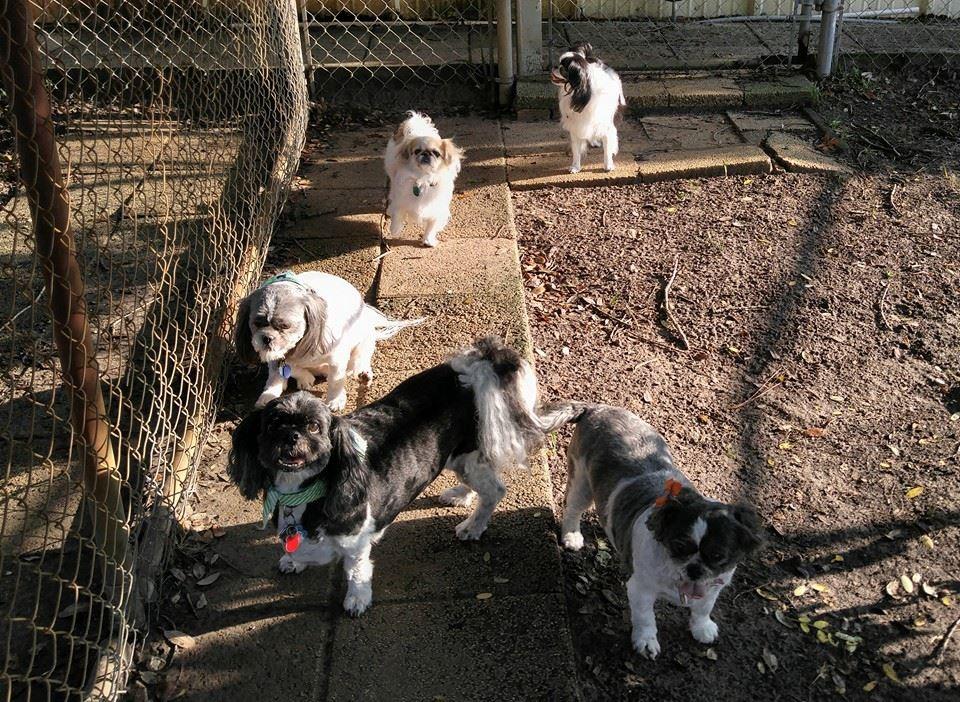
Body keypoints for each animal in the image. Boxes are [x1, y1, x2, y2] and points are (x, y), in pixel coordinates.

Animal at [227, 338, 548, 620]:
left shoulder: (356, 541)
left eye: (315, 427)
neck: (303, 492)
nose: (291, 436)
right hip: (460, 458)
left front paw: (357, 599)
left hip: (471, 456)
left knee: (494, 490)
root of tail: (471, 370)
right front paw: (293, 561)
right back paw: (460, 495)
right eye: (273, 424)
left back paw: (473, 527)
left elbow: (356, 571)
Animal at [382, 111, 464, 249]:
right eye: (417, 151)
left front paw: (428, 240)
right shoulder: (401, 200)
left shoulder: (436, 209)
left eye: (436, 153)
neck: (423, 178)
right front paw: (395, 230)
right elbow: (398, 214)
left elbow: (431, 226)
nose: (425, 153)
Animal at [540, 404, 756, 664]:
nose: (695, 568)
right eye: (679, 546)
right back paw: (572, 535)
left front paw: (702, 628)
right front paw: (645, 642)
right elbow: (645, 618)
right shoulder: (641, 588)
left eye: (718, 557)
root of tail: (597, 408)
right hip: (581, 482)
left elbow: (703, 608)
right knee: (573, 508)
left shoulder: (713, 586)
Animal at [552, 41, 628, 175]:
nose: (554, 66)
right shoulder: (576, 126)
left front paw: (608, 165)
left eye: (562, 69)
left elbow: (607, 148)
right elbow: (576, 150)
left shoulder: (606, 126)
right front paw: (575, 167)